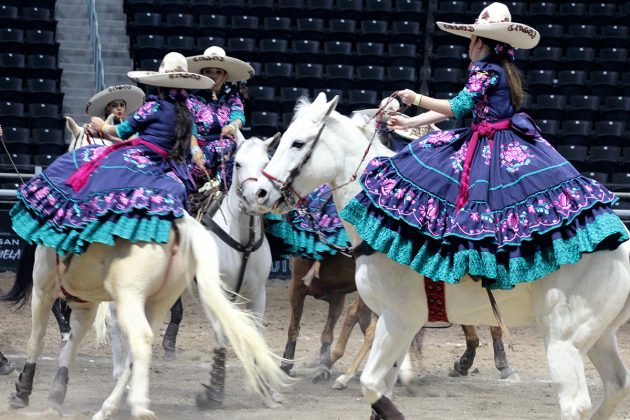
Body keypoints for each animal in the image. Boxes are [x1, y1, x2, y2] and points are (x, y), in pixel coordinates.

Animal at [248, 92, 630, 420]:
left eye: (298, 143)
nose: (261, 192)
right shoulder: (398, 323)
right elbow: (380, 387)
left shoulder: (398, 318)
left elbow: (372, 385)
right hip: (599, 336)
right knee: (616, 386)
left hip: (565, 340)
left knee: (577, 404)